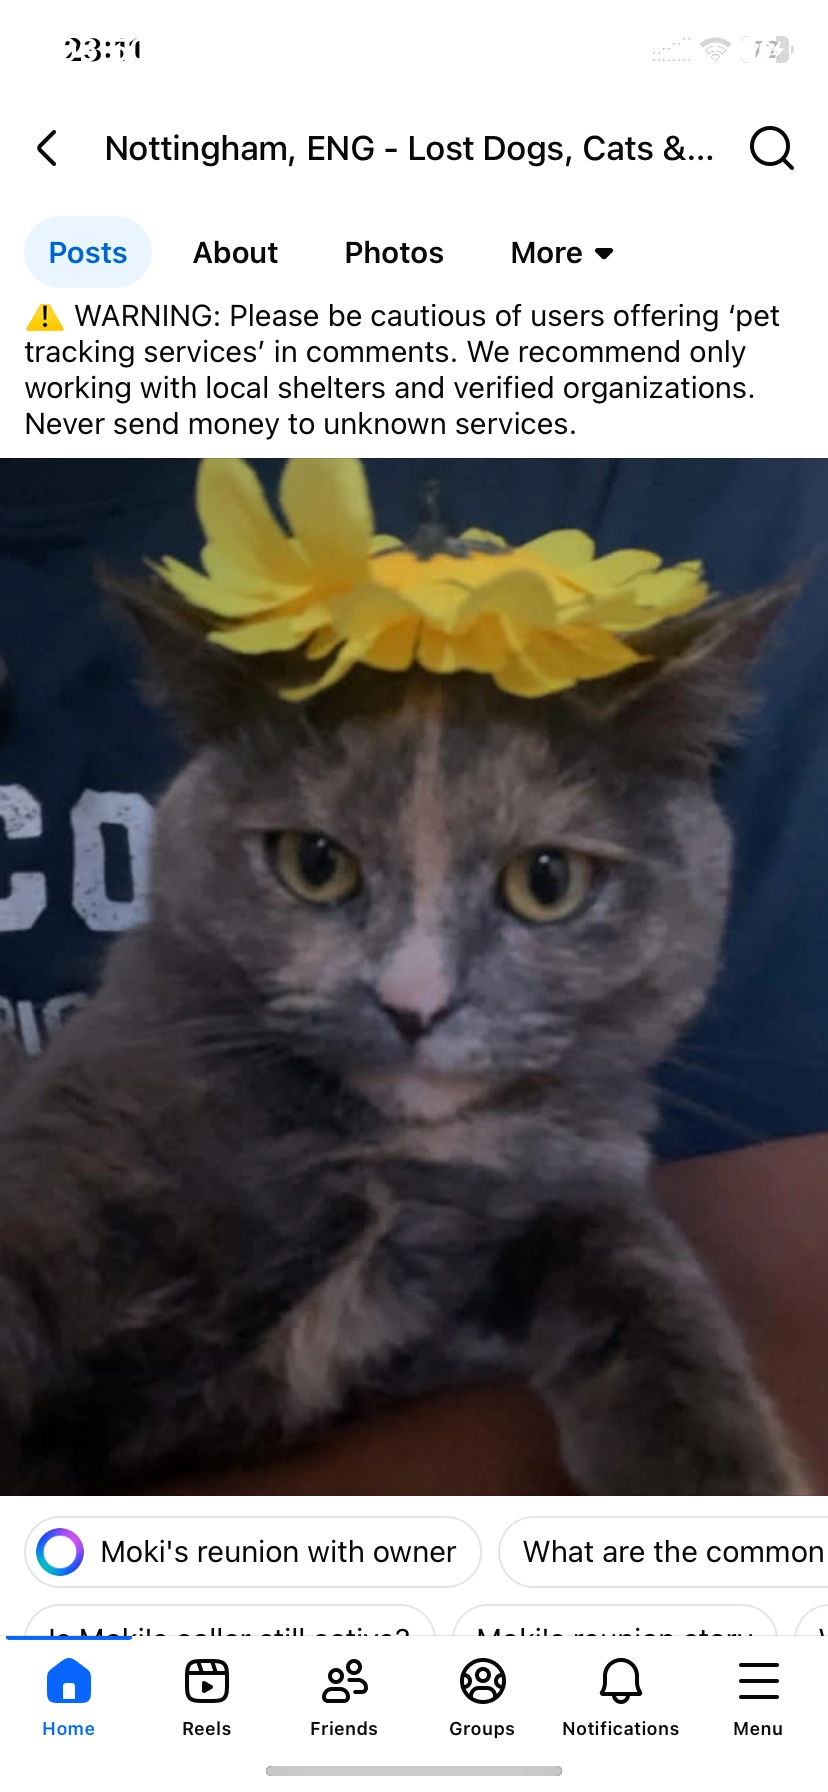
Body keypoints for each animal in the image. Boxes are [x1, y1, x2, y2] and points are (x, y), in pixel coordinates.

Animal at [0, 567, 804, 1493]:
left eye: (548, 880)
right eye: (314, 863)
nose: (415, 1003)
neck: (392, 1153)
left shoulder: (574, 1186)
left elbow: (651, 1285)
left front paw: (726, 1475)